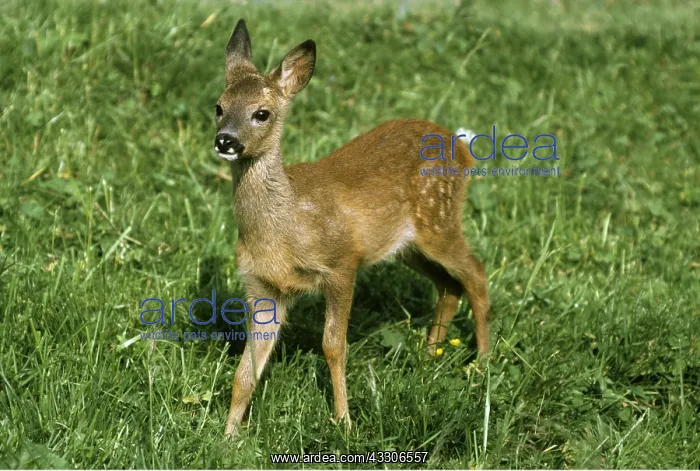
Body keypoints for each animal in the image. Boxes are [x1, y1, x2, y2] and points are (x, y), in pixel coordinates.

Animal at [215, 19, 492, 438]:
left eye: (262, 113)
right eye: (218, 107)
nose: (225, 140)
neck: (286, 228)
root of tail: (461, 147)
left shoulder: (342, 263)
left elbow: (333, 345)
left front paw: (344, 421)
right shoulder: (263, 285)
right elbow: (247, 368)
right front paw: (228, 435)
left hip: (439, 221)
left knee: (476, 272)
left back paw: (484, 362)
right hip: (408, 246)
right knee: (449, 285)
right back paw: (429, 357)